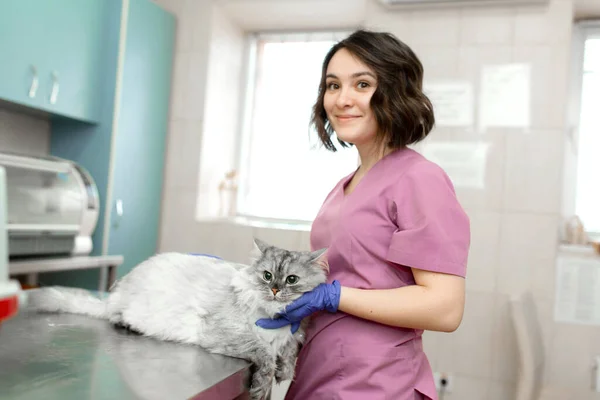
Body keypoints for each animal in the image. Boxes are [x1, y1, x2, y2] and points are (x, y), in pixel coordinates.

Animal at [25, 239, 328, 398]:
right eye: (267, 276)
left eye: (291, 279)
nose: (275, 289)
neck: (276, 317)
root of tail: (115, 295)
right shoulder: (227, 335)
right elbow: (264, 353)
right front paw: (264, 384)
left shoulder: (293, 333)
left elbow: (288, 351)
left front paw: (284, 371)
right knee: (114, 315)